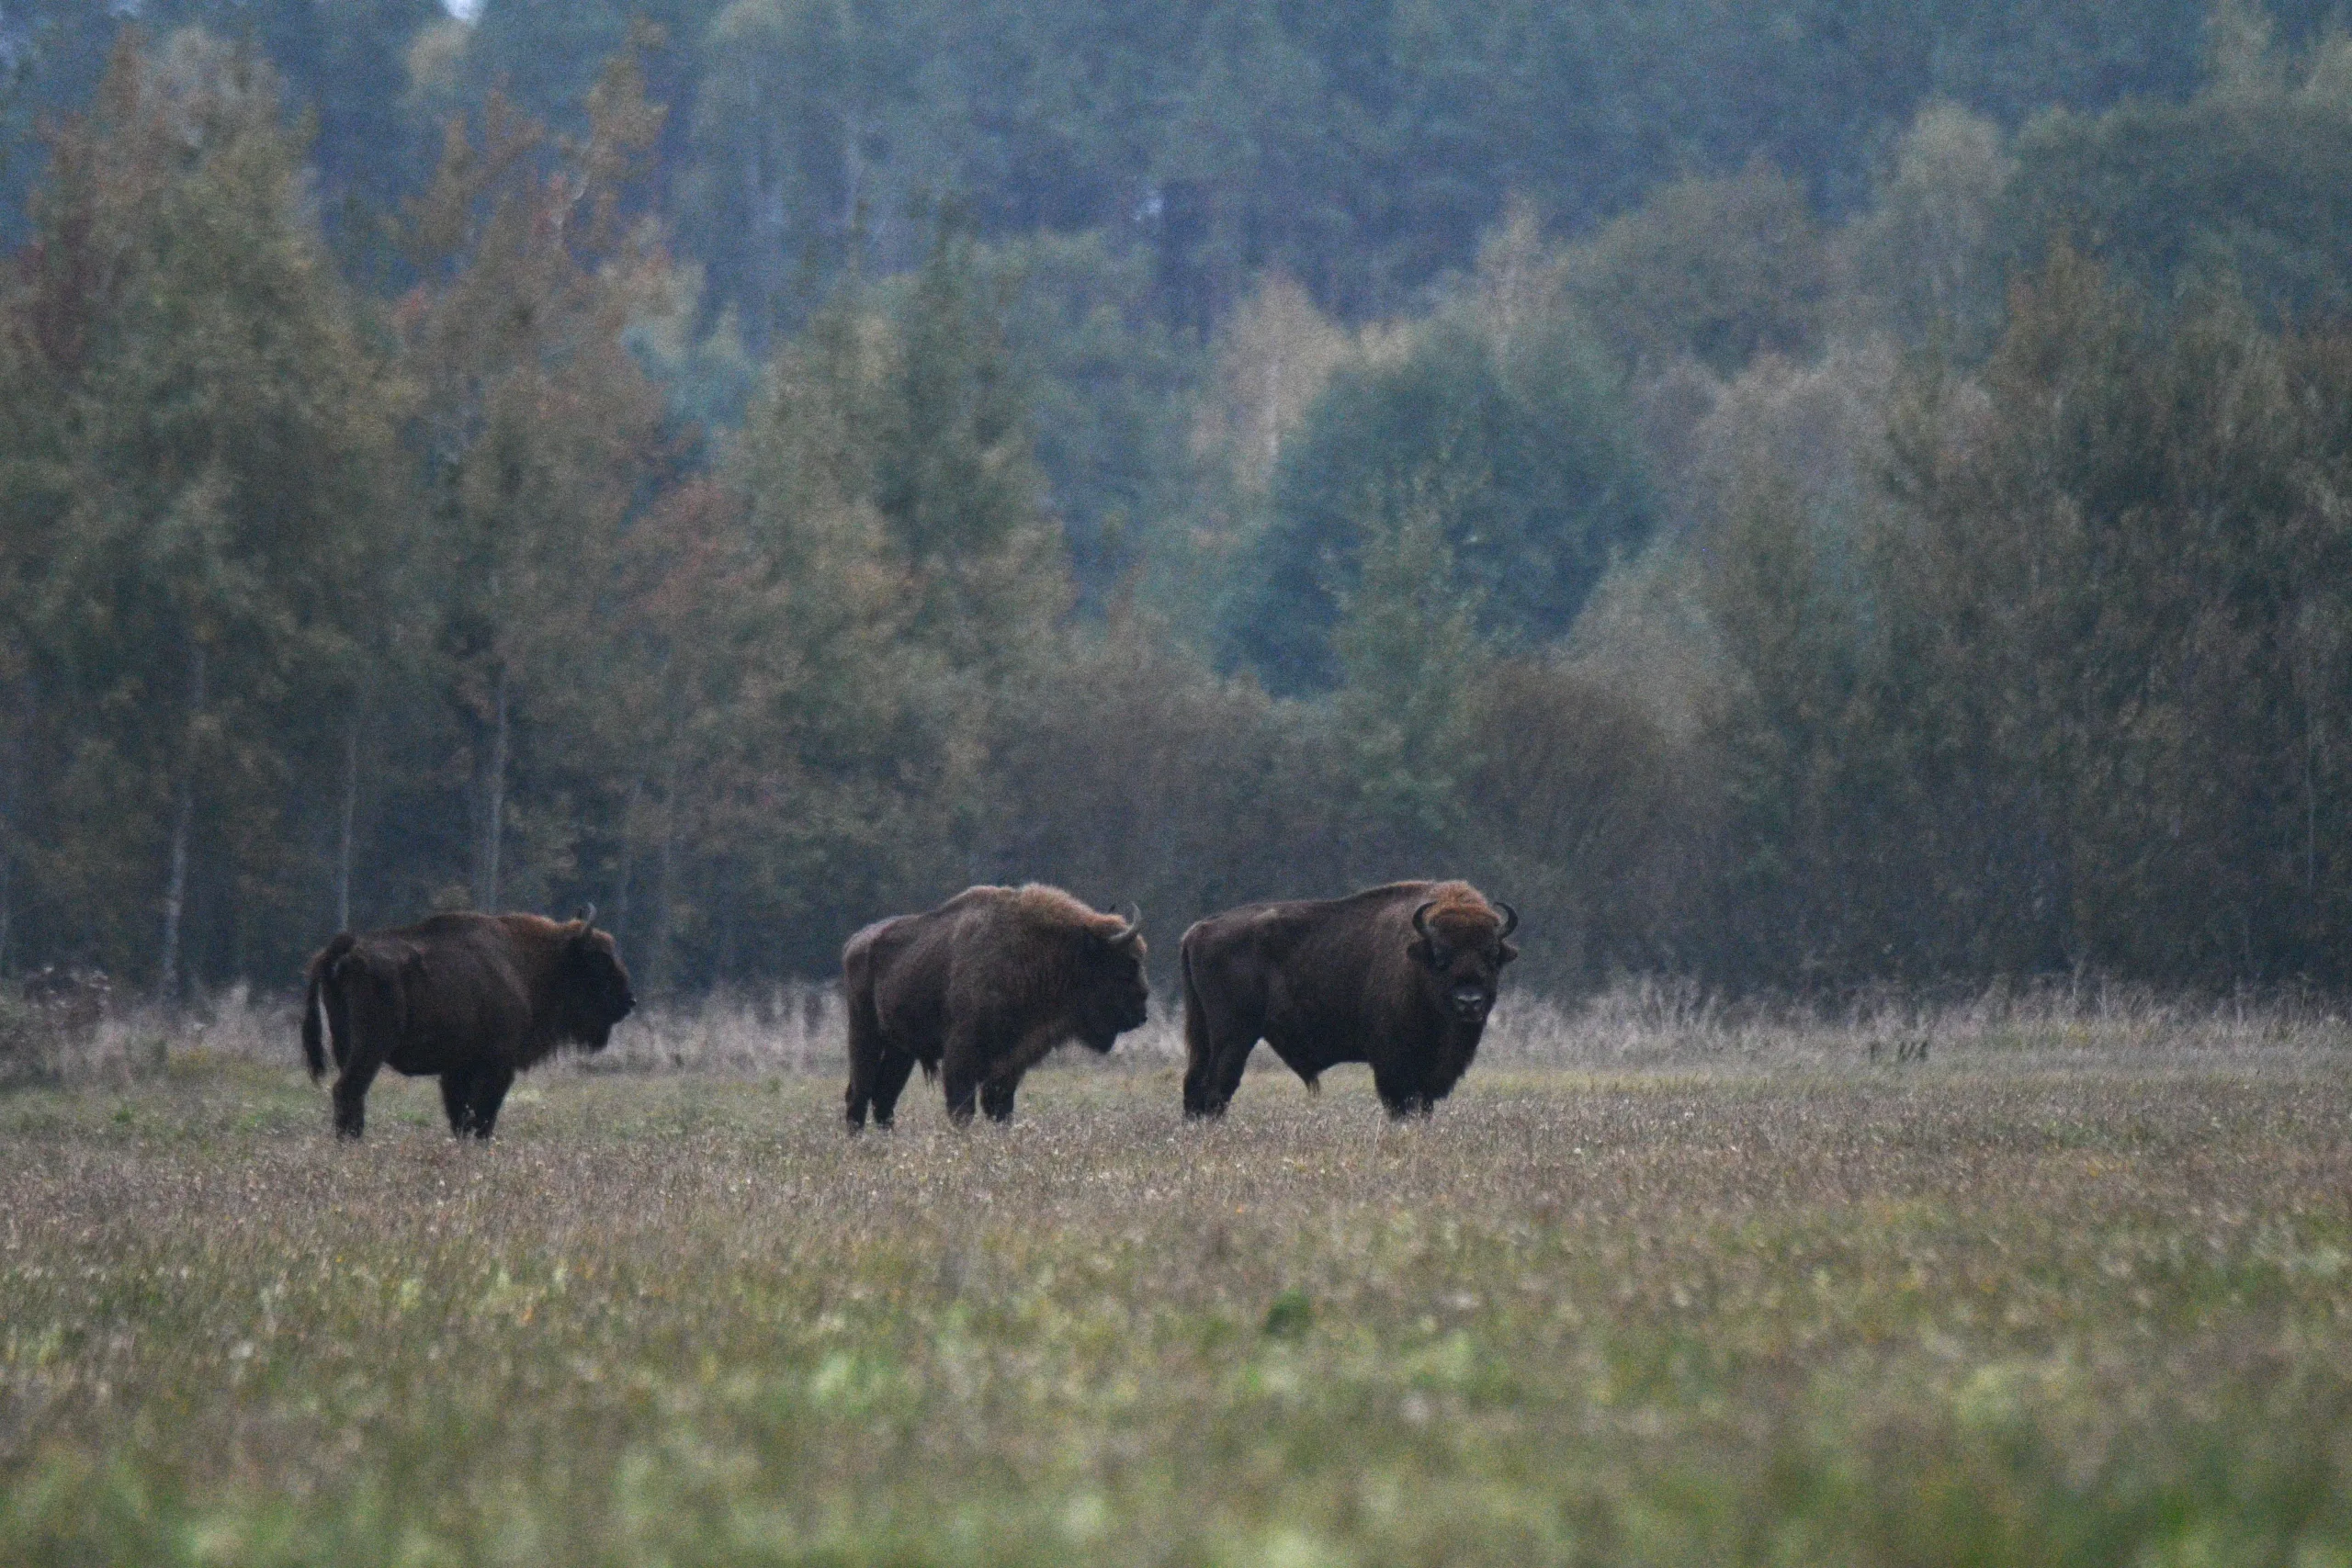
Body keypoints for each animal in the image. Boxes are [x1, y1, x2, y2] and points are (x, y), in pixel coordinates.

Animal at [301, 909, 635, 1139]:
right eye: (599, 959)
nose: (629, 1001)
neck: (525, 963)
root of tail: (346, 948)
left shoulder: (456, 1069)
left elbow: (460, 1116)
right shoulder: (497, 1066)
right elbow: (482, 1116)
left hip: (345, 1045)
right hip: (371, 1047)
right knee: (348, 1090)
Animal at [843, 884, 1148, 1129]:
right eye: (1128, 963)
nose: (1142, 1012)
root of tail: (855, 943)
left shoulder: (1011, 1061)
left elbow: (1001, 1109)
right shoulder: (961, 1053)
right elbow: (963, 1108)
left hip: (901, 1050)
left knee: (883, 1096)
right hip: (865, 1035)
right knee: (859, 1092)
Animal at [1179, 879, 1518, 1119]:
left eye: (1491, 956)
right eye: (1440, 956)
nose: (1469, 1002)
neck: (1416, 961)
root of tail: (1199, 929)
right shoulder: (1393, 1060)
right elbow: (1401, 1104)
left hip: (1207, 1034)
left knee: (1195, 1085)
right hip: (1234, 1035)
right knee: (1218, 1086)